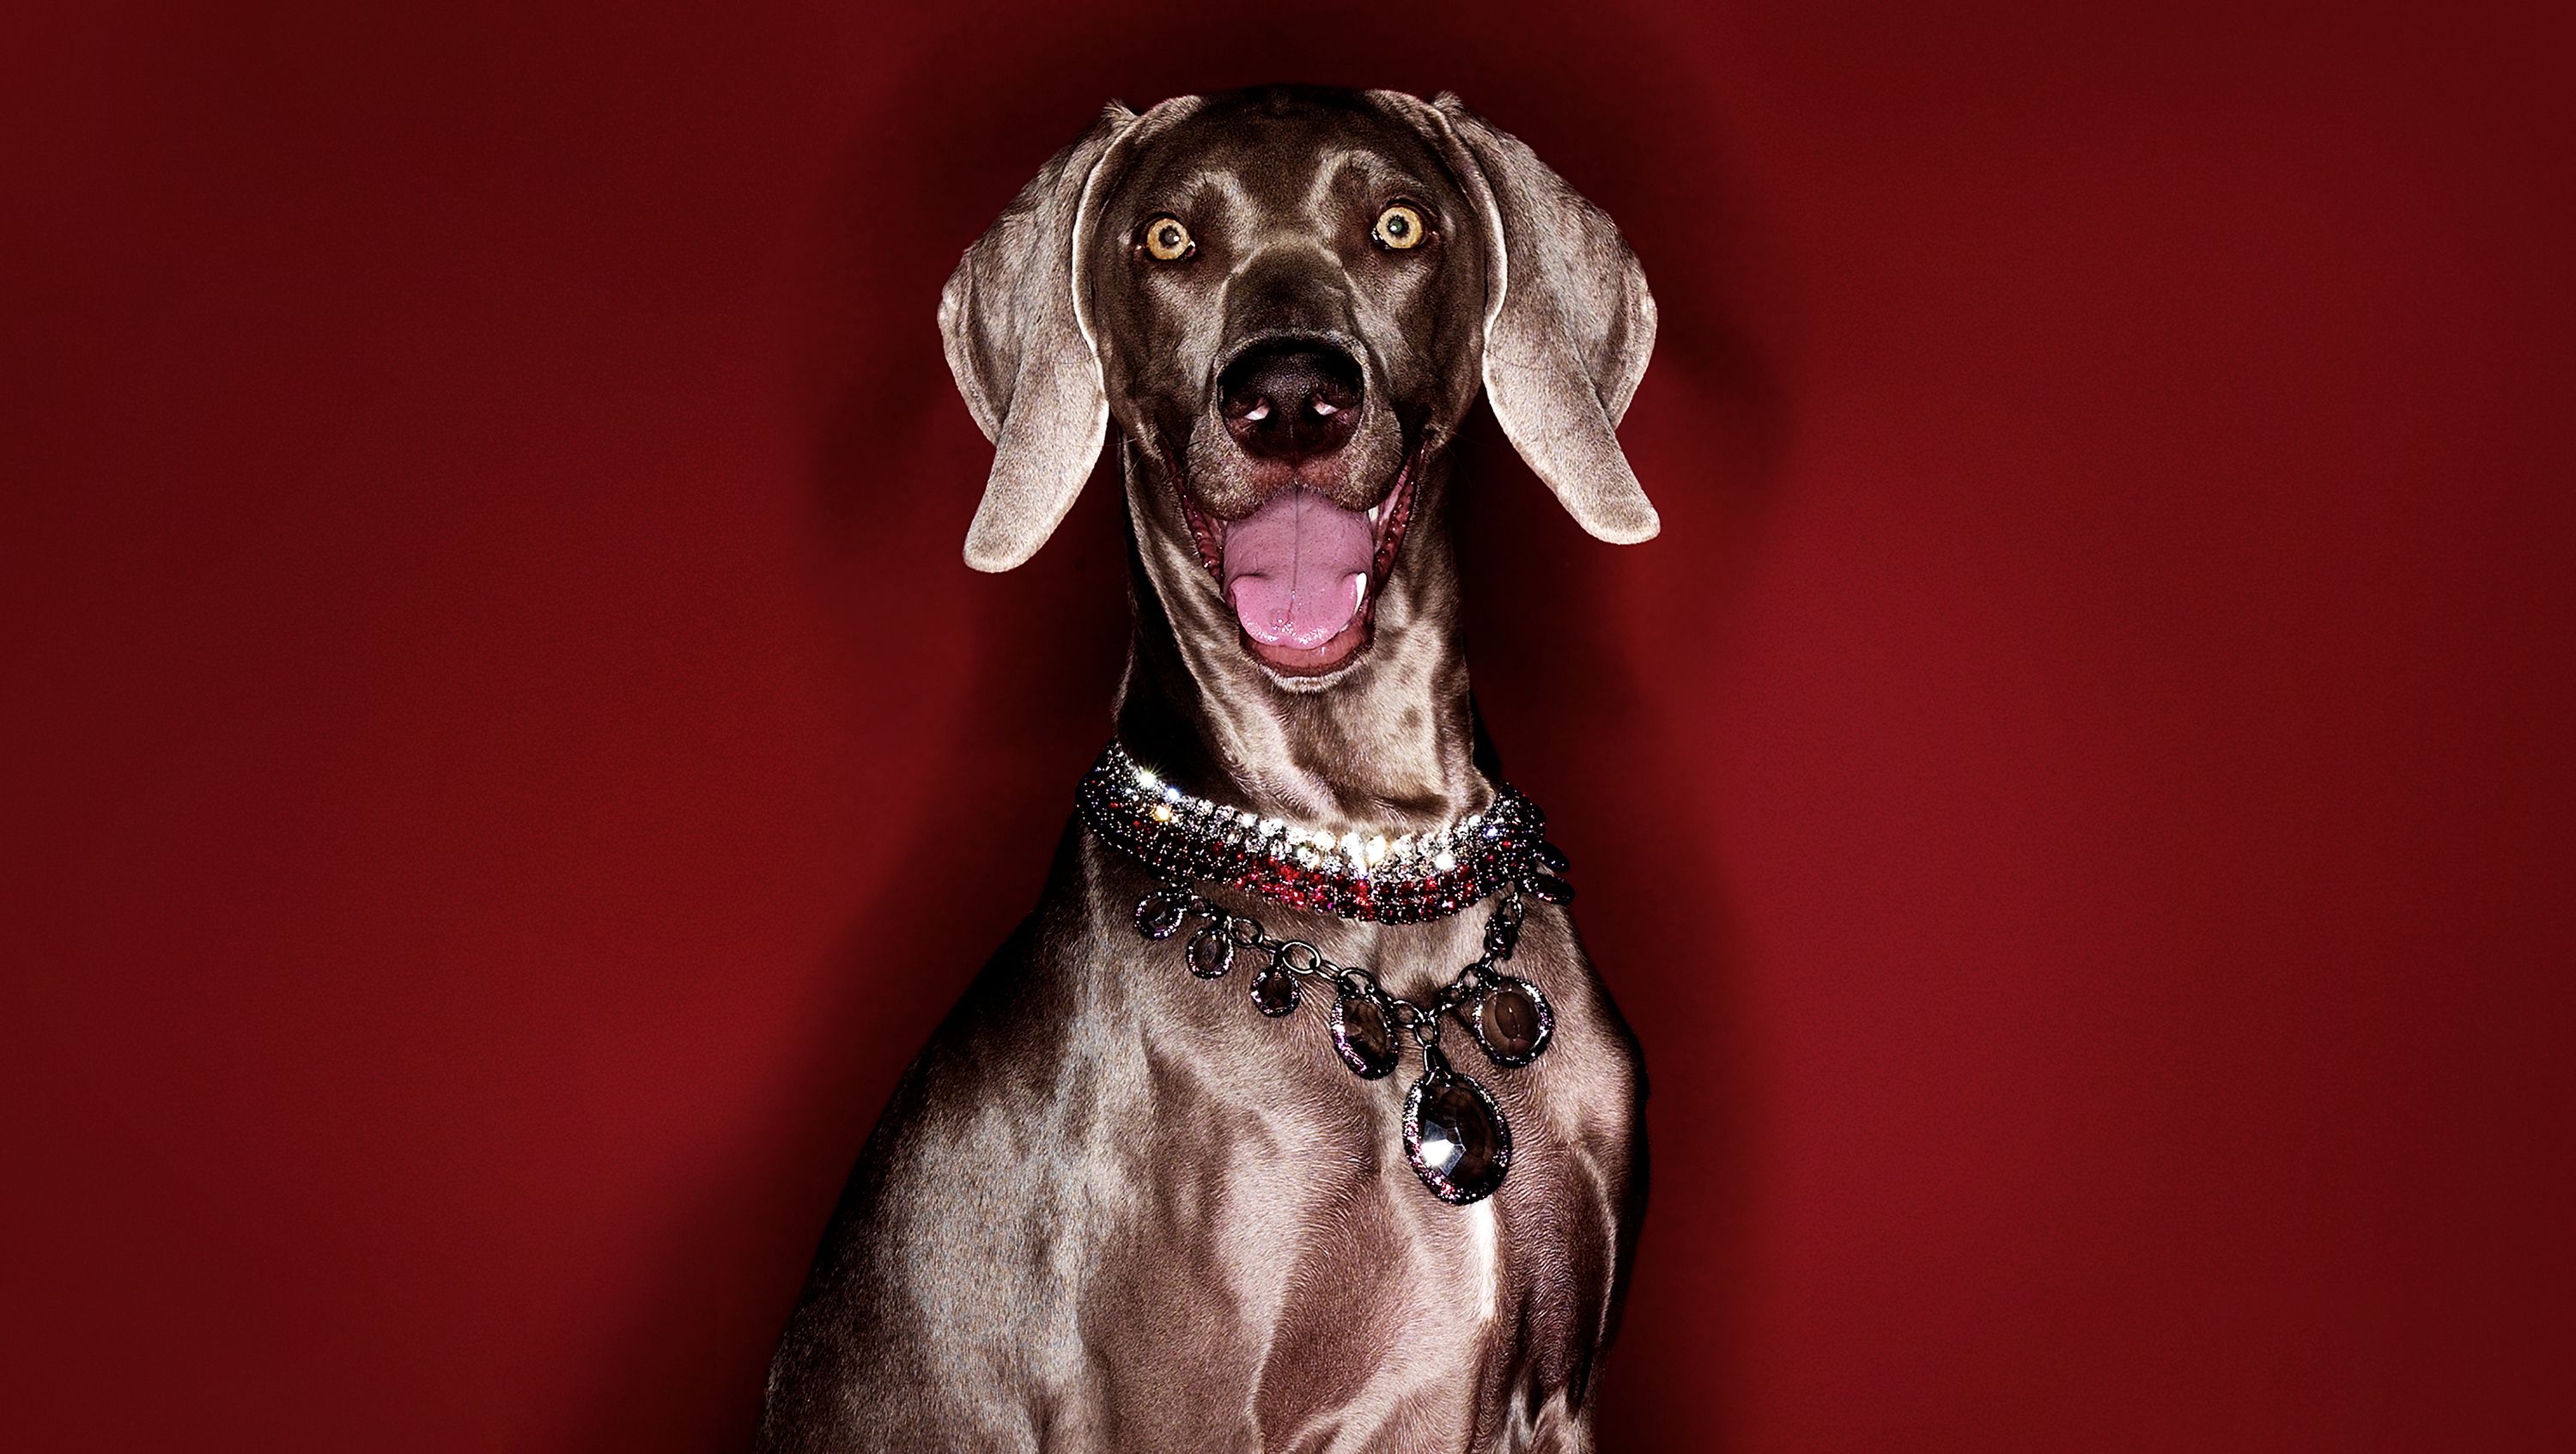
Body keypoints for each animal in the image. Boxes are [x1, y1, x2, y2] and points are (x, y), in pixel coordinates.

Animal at [752, 82, 1659, 1454]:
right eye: (1167, 242)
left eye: (1400, 223)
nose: (1290, 398)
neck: (1373, 863)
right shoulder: (1180, 1404)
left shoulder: (1559, 1391)